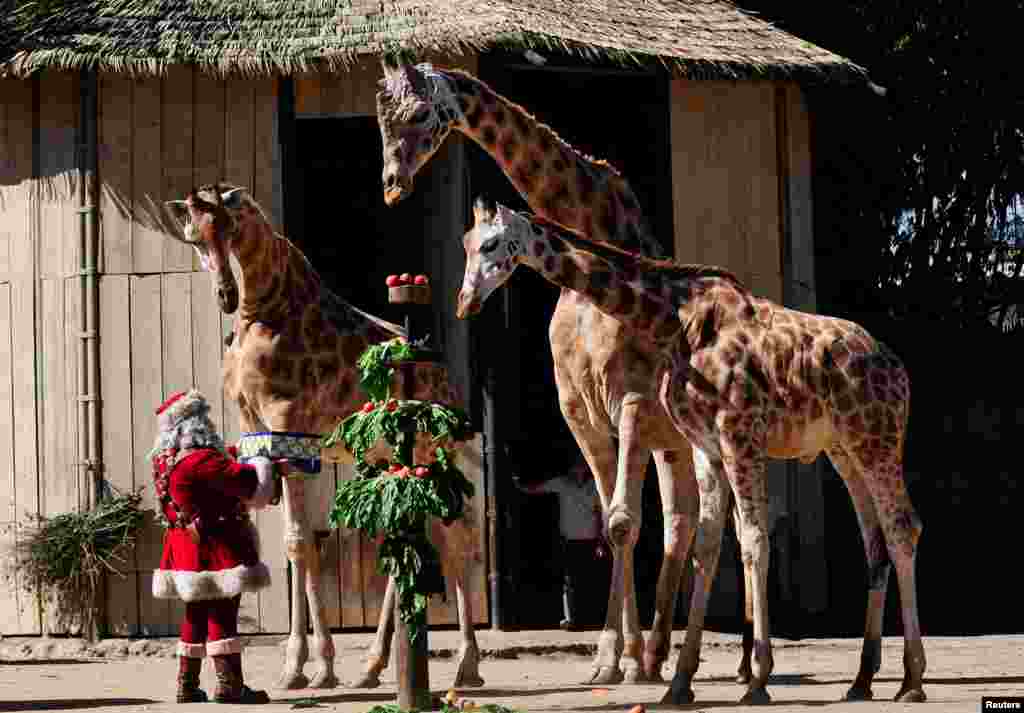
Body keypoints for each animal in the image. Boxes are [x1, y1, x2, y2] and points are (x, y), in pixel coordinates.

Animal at [163, 182, 487, 692]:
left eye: (231, 229)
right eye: (194, 238)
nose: (226, 296)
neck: (267, 311)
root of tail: (445, 376)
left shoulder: (288, 424)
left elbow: (300, 543)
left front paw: (304, 667)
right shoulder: (262, 434)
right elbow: (301, 545)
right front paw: (315, 667)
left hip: (433, 448)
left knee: (456, 536)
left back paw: (466, 667)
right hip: (384, 454)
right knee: (403, 529)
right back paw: (374, 667)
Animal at [372, 57, 733, 684]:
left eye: (419, 114)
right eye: (379, 118)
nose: (393, 186)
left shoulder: (631, 399)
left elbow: (624, 522)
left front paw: (620, 656)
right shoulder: (578, 407)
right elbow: (615, 522)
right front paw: (616, 657)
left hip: (682, 436)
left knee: (690, 521)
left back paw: (676, 655)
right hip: (670, 442)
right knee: (680, 521)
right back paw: (657, 652)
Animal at [456, 196, 929, 708]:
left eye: (491, 244)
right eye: (465, 244)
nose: (465, 303)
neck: (674, 321)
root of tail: (897, 368)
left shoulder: (738, 436)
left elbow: (754, 542)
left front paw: (757, 680)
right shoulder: (707, 448)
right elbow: (706, 546)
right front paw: (680, 681)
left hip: (878, 440)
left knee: (903, 528)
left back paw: (912, 680)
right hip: (844, 449)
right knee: (874, 541)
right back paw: (862, 679)